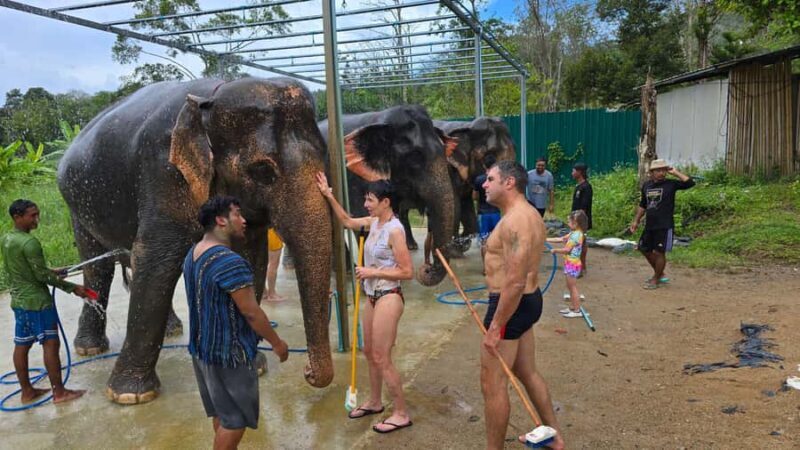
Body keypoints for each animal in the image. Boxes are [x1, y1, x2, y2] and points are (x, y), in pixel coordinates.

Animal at [57, 77, 334, 404]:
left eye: (324, 156)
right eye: (263, 170)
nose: (307, 371)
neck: (211, 100)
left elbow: (251, 259)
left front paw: (254, 366)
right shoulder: (164, 173)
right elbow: (157, 258)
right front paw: (129, 396)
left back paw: (172, 331)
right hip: (77, 208)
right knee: (99, 268)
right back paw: (90, 348)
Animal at [317, 105, 460, 286]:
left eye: (444, 152)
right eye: (414, 159)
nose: (426, 268)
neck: (383, 122)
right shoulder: (353, 178)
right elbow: (360, 219)